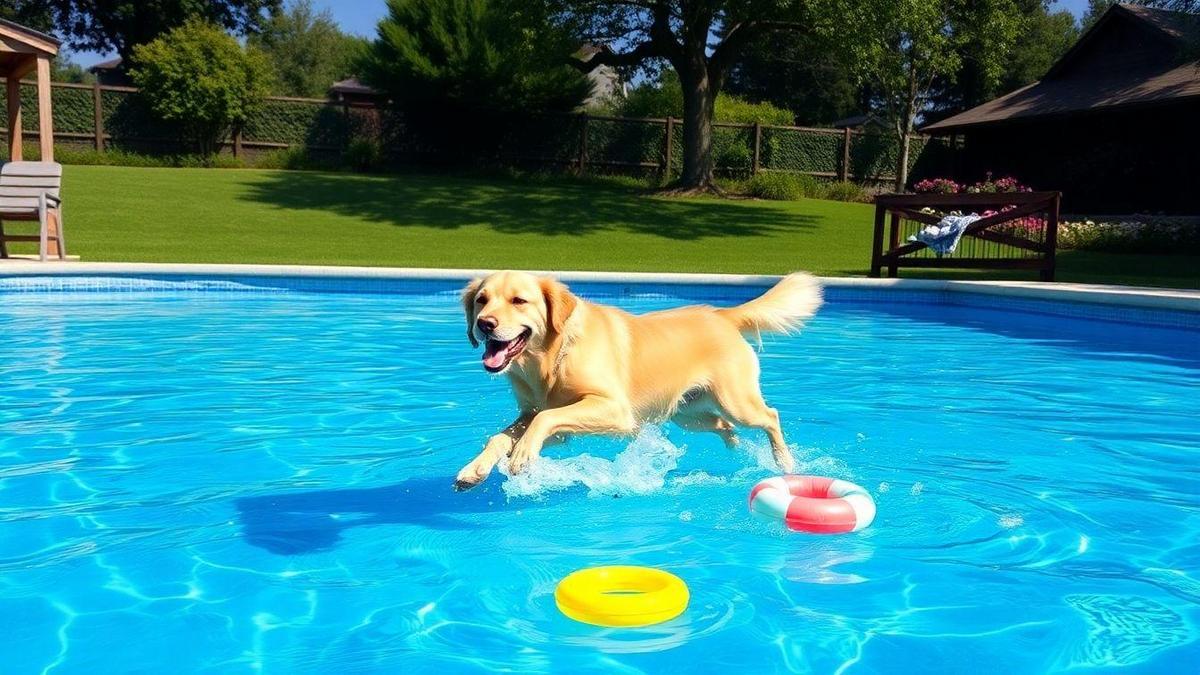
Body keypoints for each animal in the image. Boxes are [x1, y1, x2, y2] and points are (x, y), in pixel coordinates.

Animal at [453, 269, 820, 487]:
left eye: (519, 301)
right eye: (482, 300)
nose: (484, 324)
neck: (552, 358)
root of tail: (721, 315)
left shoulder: (615, 411)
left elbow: (546, 418)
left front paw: (523, 455)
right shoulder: (540, 418)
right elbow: (502, 436)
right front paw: (475, 469)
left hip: (736, 402)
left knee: (770, 417)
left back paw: (784, 462)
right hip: (689, 413)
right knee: (723, 425)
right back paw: (734, 445)